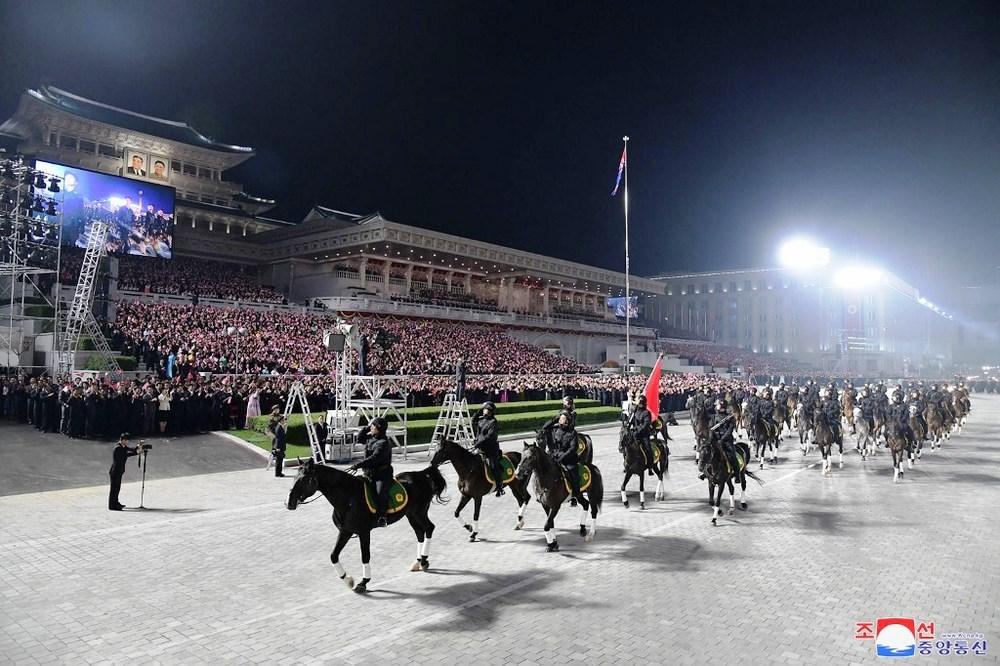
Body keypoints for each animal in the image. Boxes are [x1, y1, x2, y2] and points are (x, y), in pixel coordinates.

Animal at [288, 456, 448, 592]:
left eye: (304, 479)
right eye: (294, 477)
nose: (289, 503)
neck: (349, 497)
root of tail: (421, 474)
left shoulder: (364, 532)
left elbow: (365, 556)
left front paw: (363, 582)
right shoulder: (345, 531)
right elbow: (334, 555)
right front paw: (348, 580)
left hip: (419, 512)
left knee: (429, 528)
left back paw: (424, 561)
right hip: (411, 515)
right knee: (420, 533)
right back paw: (418, 562)